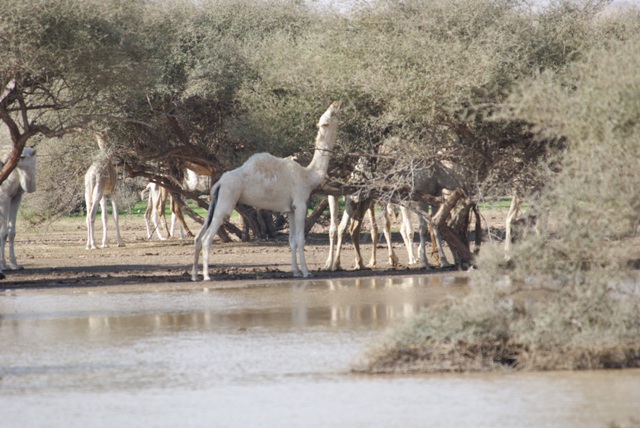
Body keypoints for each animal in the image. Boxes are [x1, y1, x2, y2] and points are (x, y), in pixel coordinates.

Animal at [0, 145, 36, 278]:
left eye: (23, 156)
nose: (4, 163)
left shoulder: (16, 198)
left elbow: (12, 232)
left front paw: (14, 265)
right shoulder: (4, 197)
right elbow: (3, 232)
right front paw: (2, 265)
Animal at [190, 101, 340, 280]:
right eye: (329, 115)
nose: (335, 104)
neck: (308, 175)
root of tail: (219, 183)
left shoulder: (290, 209)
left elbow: (292, 240)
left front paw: (295, 271)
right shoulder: (300, 204)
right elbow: (301, 239)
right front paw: (305, 272)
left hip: (215, 202)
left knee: (198, 237)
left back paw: (195, 275)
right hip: (226, 200)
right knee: (207, 238)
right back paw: (207, 276)